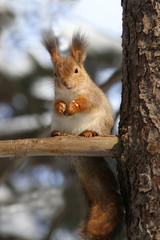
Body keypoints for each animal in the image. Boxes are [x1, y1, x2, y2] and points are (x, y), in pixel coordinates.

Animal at [42, 31, 122, 240]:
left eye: (76, 70)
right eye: (55, 74)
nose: (66, 85)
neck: (71, 94)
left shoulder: (92, 97)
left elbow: (84, 103)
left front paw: (73, 107)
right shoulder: (57, 97)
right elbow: (56, 104)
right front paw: (61, 107)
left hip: (101, 124)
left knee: (95, 130)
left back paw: (88, 133)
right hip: (58, 124)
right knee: (58, 129)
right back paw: (56, 133)